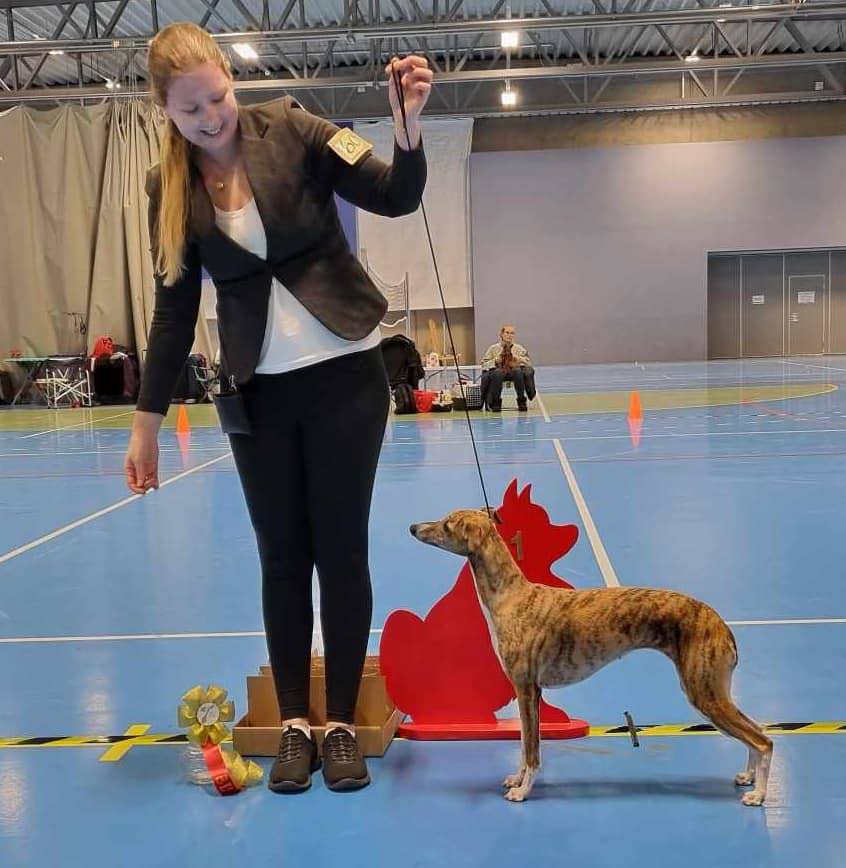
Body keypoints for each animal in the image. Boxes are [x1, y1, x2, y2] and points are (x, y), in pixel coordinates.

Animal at [409, 509, 773, 806]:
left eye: (446, 524)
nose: (413, 527)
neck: (511, 597)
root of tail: (720, 624)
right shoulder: (531, 692)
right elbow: (526, 743)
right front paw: (516, 778)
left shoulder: (526, 688)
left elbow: (532, 750)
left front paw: (523, 791)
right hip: (713, 690)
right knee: (754, 732)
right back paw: (748, 777)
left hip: (704, 692)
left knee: (763, 741)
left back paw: (759, 794)